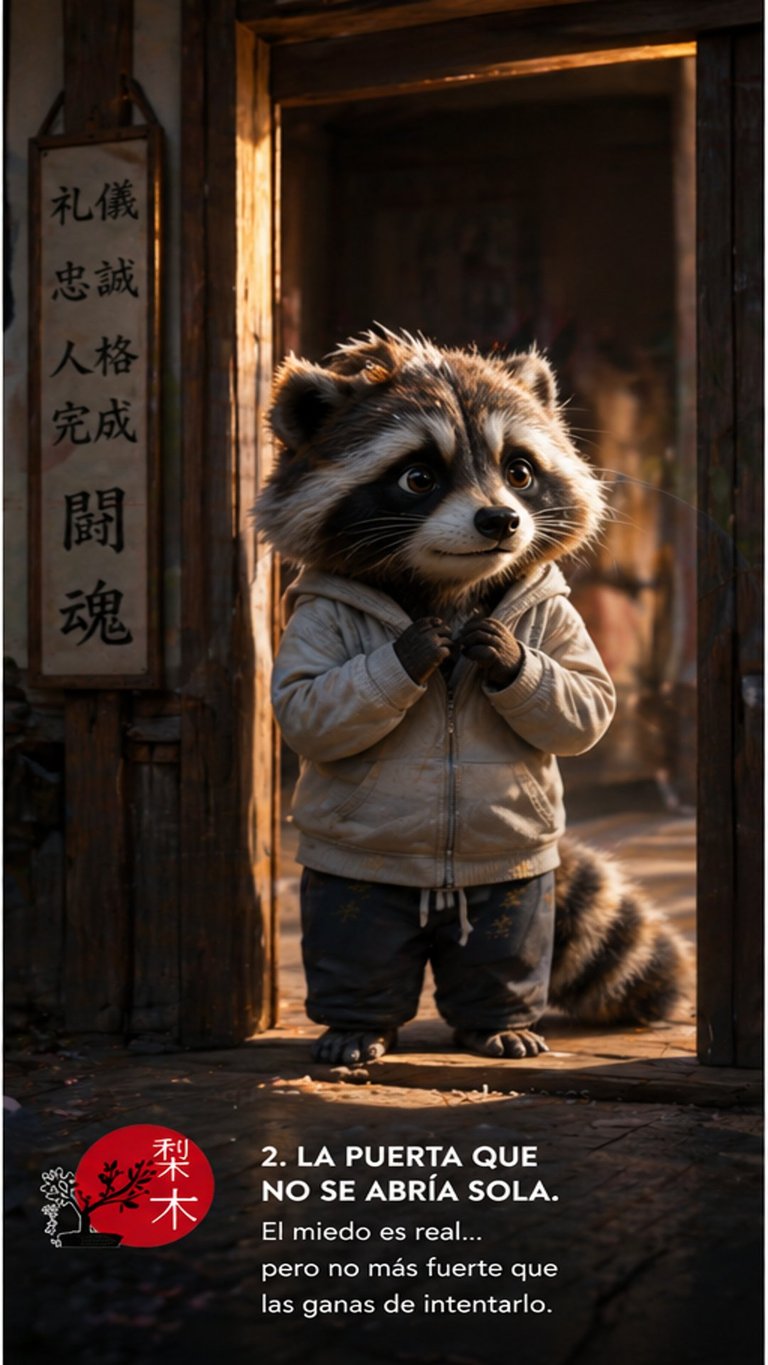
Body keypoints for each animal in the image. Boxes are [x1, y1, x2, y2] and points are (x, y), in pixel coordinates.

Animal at [257, 328, 689, 1066]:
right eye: (418, 477)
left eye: (519, 471)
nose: (500, 520)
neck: (448, 588)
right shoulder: (315, 618)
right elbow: (309, 705)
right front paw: (410, 651)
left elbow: (588, 699)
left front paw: (511, 655)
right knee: (357, 935)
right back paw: (357, 1021)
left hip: (518, 892)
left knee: (504, 937)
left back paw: (497, 1019)